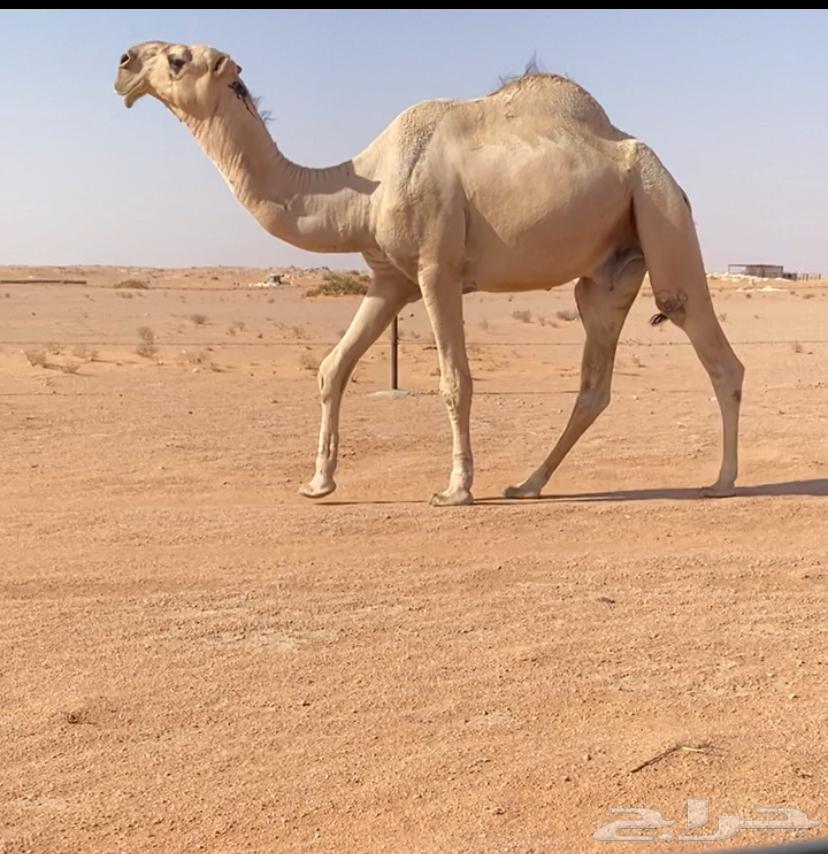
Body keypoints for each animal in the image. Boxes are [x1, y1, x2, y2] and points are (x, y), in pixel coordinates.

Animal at [114, 42, 744, 506]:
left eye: (177, 58)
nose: (123, 64)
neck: (361, 191)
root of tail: (668, 173)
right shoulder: (389, 279)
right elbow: (332, 366)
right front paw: (319, 483)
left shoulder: (437, 269)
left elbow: (454, 380)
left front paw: (455, 490)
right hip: (609, 271)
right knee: (594, 380)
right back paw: (527, 484)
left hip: (660, 207)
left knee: (710, 345)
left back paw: (720, 481)